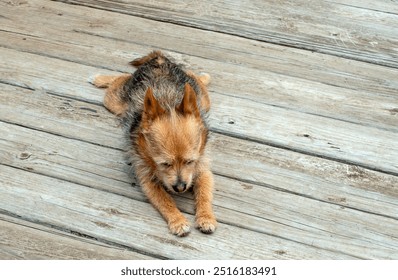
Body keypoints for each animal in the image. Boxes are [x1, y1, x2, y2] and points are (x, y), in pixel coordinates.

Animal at [92, 50, 218, 236]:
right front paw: (177, 220)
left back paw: (202, 77)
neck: (169, 103)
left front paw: (206, 217)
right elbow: (164, 201)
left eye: (190, 161)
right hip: (114, 101)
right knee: (121, 78)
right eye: (164, 164)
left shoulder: (202, 169)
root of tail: (159, 60)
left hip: (203, 99)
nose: (180, 187)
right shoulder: (147, 180)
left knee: (193, 77)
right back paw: (101, 78)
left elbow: (204, 194)